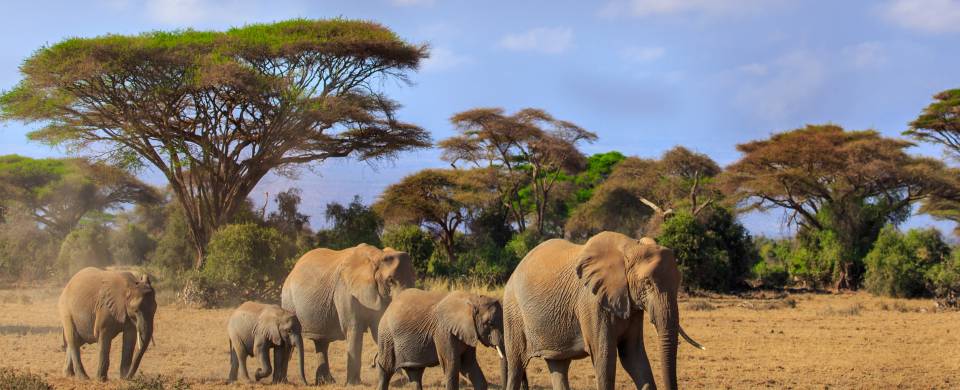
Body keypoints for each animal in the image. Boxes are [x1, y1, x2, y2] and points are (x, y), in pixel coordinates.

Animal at [278, 244, 412, 384]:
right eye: (390, 281)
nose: (373, 364)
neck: (377, 256)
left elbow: (379, 330)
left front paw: (399, 380)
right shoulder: (345, 290)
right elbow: (353, 328)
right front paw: (354, 384)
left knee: (321, 341)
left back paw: (326, 382)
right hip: (288, 300)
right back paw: (284, 382)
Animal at [376, 288, 506, 388]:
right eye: (489, 323)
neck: (473, 299)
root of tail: (388, 308)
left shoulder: (468, 332)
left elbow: (469, 365)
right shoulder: (443, 332)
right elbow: (451, 365)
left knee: (415, 374)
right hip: (386, 337)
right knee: (385, 370)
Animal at [506, 232, 700, 390]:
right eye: (647, 283)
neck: (630, 248)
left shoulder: (630, 304)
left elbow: (633, 355)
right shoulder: (592, 303)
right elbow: (605, 358)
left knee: (558, 365)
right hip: (513, 312)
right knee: (516, 366)